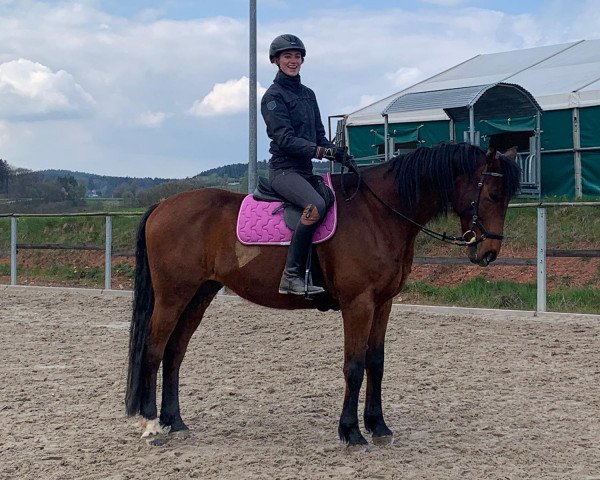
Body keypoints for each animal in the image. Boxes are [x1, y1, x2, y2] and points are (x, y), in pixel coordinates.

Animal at [125, 142, 520, 446]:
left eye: (507, 198)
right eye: (492, 194)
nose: (488, 254)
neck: (378, 213)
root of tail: (163, 205)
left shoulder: (383, 303)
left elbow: (376, 363)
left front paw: (378, 426)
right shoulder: (358, 303)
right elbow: (354, 366)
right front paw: (351, 433)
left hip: (199, 295)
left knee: (175, 353)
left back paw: (175, 422)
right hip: (173, 296)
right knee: (155, 349)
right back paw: (151, 425)